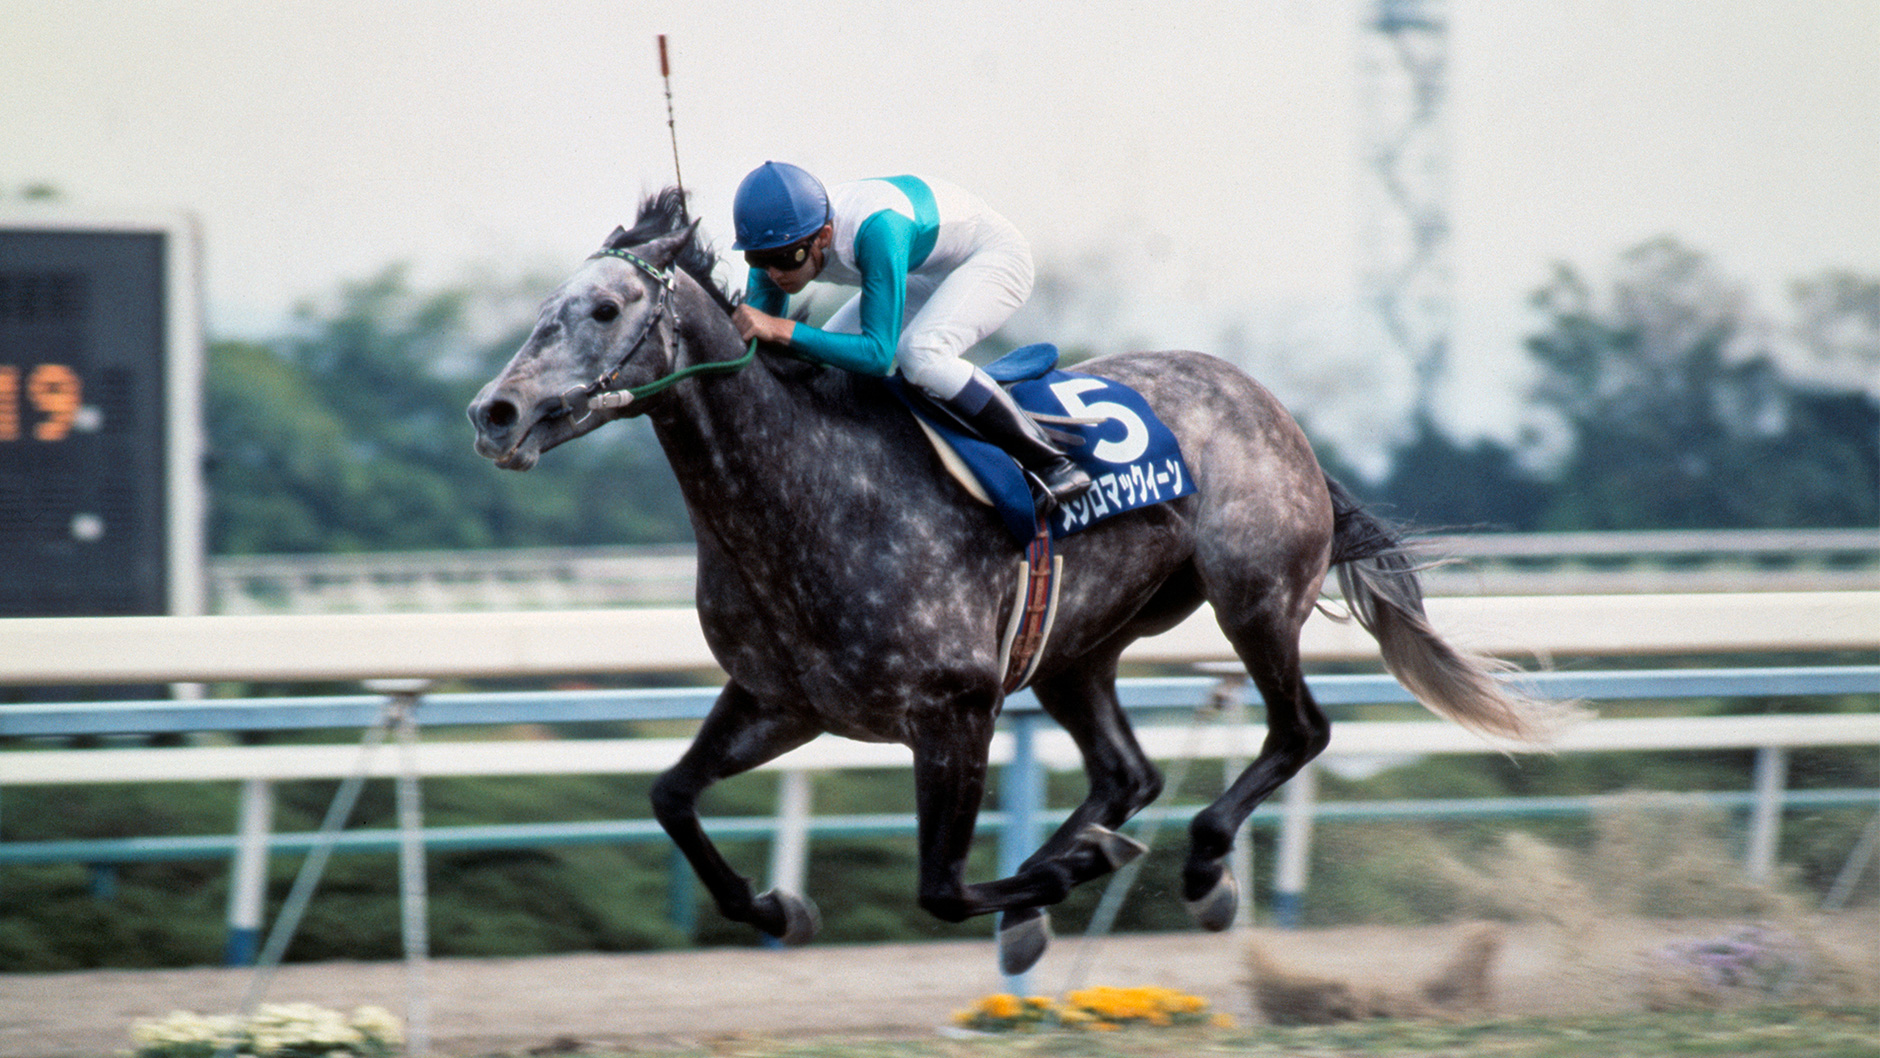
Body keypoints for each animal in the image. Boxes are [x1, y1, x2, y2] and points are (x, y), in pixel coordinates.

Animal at [468, 189, 1570, 973]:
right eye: (543, 309)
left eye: (603, 307)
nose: (494, 413)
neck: (810, 494)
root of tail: (1273, 409)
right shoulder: (780, 700)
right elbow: (669, 796)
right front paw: (776, 902)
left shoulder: (951, 708)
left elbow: (942, 888)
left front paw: (1069, 873)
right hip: (1075, 647)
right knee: (1128, 772)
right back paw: (1069, 879)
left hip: (1252, 596)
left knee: (1297, 731)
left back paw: (1195, 866)